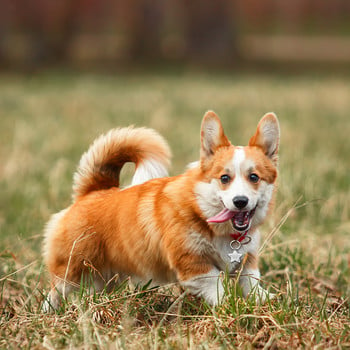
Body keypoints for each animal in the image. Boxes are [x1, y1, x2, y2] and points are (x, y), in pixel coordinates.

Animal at [43, 110, 278, 310]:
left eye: (254, 177)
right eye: (224, 178)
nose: (240, 201)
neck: (203, 211)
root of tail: (92, 192)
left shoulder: (247, 263)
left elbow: (252, 284)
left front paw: (266, 300)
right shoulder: (194, 267)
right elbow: (216, 289)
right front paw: (230, 306)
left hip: (105, 277)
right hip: (72, 269)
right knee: (55, 290)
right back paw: (50, 311)